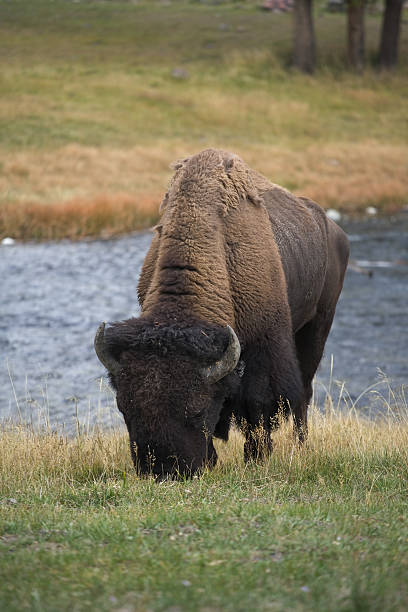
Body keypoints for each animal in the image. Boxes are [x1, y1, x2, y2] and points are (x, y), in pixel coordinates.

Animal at [94, 149, 350, 478]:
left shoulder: (262, 347)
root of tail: (333, 229)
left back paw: (300, 447)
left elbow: (257, 406)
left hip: (318, 324)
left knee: (304, 393)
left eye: (197, 409)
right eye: (124, 407)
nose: (163, 469)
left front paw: (257, 458)